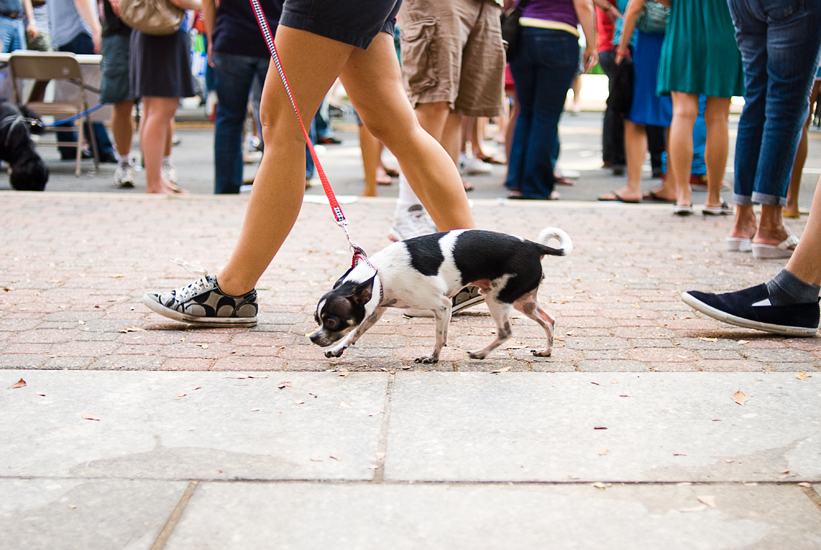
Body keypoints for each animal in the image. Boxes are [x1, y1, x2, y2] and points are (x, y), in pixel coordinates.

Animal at [308, 226, 572, 364]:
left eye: (331, 321)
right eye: (316, 319)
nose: (312, 337)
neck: (379, 274)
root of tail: (534, 246)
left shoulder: (442, 305)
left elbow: (439, 336)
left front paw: (432, 357)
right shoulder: (376, 311)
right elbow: (355, 333)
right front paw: (337, 349)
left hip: (497, 299)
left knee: (506, 332)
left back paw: (480, 353)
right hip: (522, 302)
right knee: (549, 321)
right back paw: (546, 351)